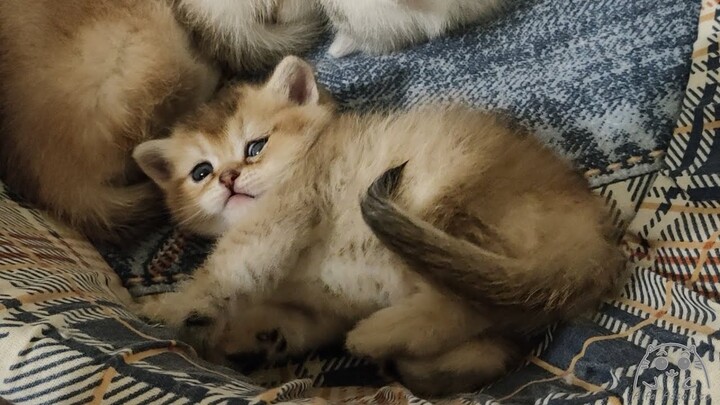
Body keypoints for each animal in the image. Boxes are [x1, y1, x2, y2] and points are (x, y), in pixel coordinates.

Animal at [134, 56, 624, 394]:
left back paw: (374, 336)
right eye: (201, 171)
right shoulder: (318, 308)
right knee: (490, 341)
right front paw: (257, 335)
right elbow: (297, 321)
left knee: (459, 306)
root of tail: (596, 242)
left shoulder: (284, 213)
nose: (228, 179)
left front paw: (173, 306)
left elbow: (228, 266)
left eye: (255, 146)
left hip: (447, 199)